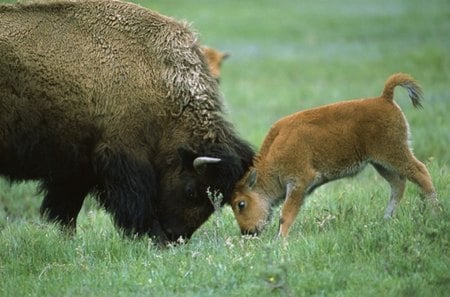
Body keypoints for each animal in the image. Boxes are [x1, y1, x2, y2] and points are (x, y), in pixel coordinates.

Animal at [0, 0, 253, 243]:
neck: (158, 80)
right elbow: (136, 203)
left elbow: (67, 209)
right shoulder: (123, 156)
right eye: (192, 191)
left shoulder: (78, 165)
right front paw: (154, 238)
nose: (175, 237)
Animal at [232, 73, 440, 237]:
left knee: (420, 173)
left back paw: (435, 211)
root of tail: (384, 98)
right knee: (398, 184)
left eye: (240, 204)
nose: (248, 232)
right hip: (380, 163)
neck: (273, 155)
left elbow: (286, 214)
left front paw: (280, 240)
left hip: (394, 154)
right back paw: (386, 218)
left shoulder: (299, 182)